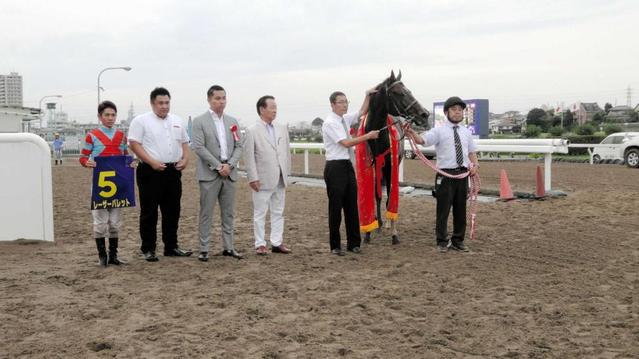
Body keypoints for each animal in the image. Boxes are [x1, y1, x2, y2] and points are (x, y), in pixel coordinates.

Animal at [356, 70, 430, 245]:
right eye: (399, 93)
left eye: (409, 90)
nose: (424, 114)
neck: (378, 135)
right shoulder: (373, 165)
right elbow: (376, 195)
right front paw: (370, 231)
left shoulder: (391, 166)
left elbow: (390, 196)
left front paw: (394, 232)